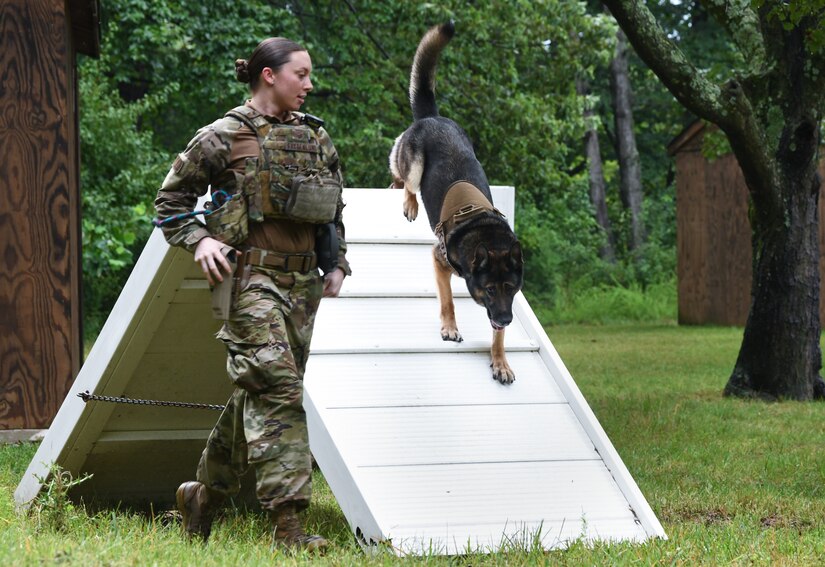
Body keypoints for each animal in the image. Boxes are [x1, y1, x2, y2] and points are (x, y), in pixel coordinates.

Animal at [390, 23, 524, 386]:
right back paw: (408, 201)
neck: (485, 233)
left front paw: (501, 362)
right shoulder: (439, 261)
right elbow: (448, 299)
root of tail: (432, 117)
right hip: (414, 165)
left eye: (510, 289)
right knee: (403, 175)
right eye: (489, 290)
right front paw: (450, 328)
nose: (506, 319)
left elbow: (497, 337)